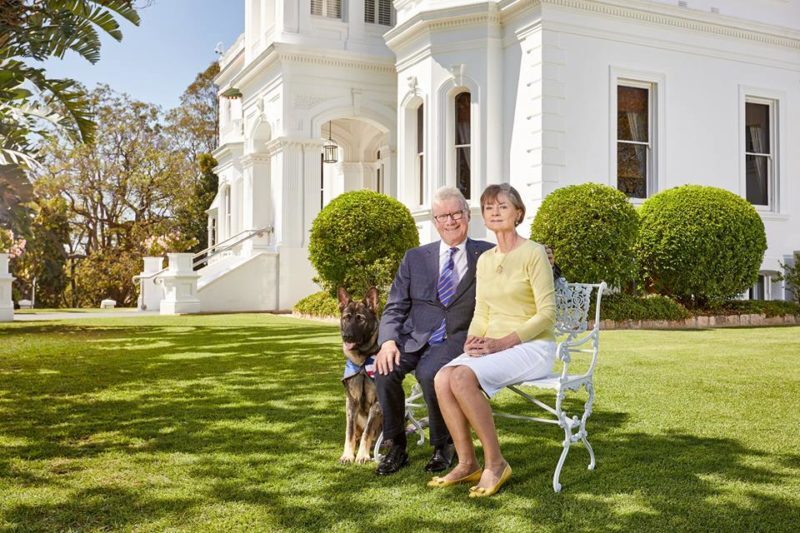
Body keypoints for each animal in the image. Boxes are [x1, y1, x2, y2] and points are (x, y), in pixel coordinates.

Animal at [336, 284, 382, 464]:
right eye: (346, 318)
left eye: (360, 319)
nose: (346, 336)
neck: (362, 362)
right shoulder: (351, 402)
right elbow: (349, 432)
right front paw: (348, 455)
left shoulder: (376, 404)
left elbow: (367, 433)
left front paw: (362, 455)